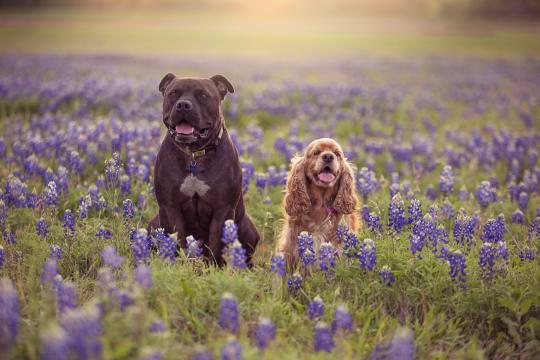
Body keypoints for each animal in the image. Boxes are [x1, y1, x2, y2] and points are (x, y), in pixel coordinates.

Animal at [151, 74, 260, 264]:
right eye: (173, 93)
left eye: (203, 95)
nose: (183, 105)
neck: (194, 155)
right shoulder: (170, 207)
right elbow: (177, 241)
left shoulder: (222, 209)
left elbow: (216, 245)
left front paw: (215, 268)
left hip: (247, 229)